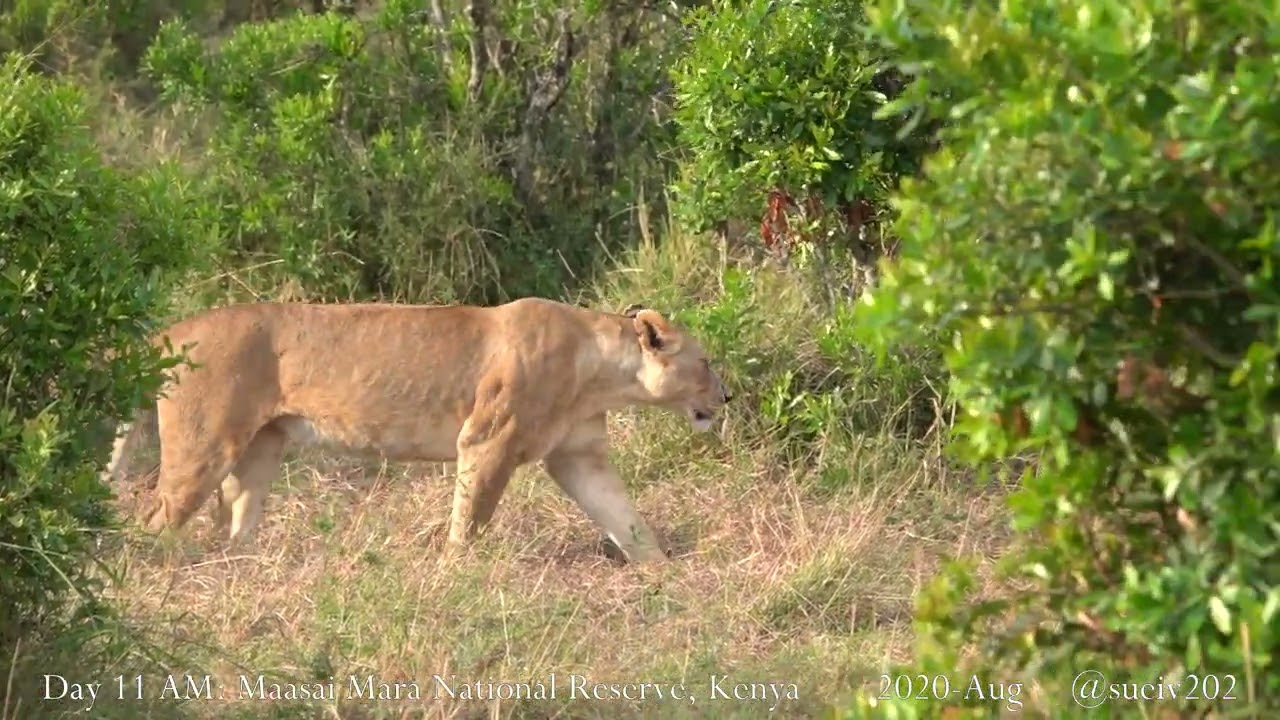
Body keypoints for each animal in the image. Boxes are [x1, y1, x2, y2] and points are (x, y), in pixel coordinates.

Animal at [101, 297, 732, 563]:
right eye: (705, 363)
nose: (726, 397)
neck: (599, 369)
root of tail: (164, 334)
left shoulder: (579, 456)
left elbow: (627, 519)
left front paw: (664, 575)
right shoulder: (487, 440)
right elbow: (470, 517)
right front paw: (455, 572)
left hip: (261, 446)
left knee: (237, 520)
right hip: (204, 446)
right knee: (155, 520)